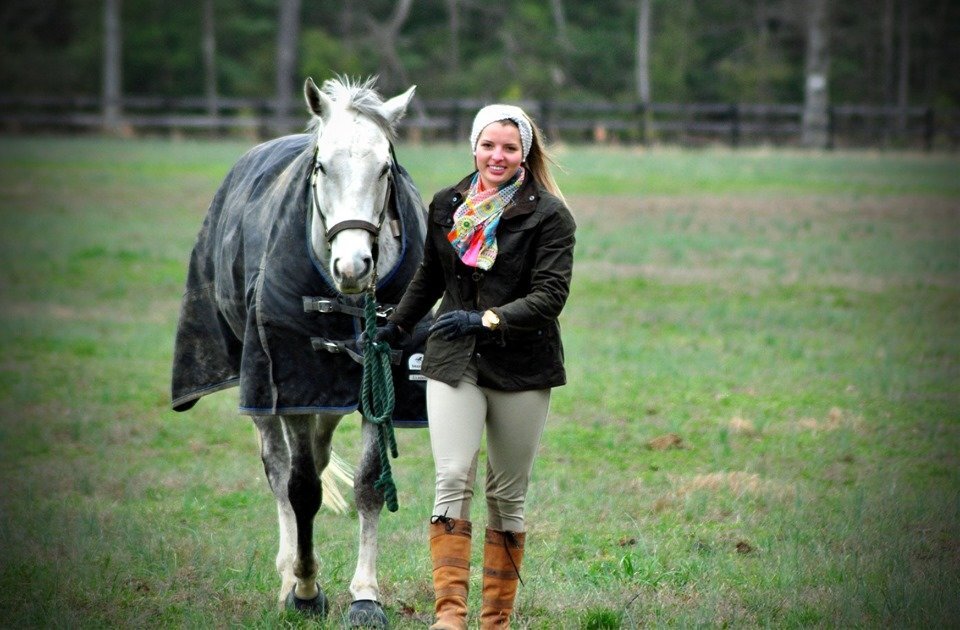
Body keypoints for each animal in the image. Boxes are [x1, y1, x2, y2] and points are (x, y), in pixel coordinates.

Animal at [172, 76, 428, 624]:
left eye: (385, 168)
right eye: (322, 166)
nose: (352, 266)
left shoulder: (376, 386)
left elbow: (369, 485)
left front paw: (366, 597)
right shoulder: (287, 385)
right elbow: (300, 487)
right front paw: (306, 590)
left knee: (319, 449)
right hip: (264, 390)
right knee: (278, 469)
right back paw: (288, 572)